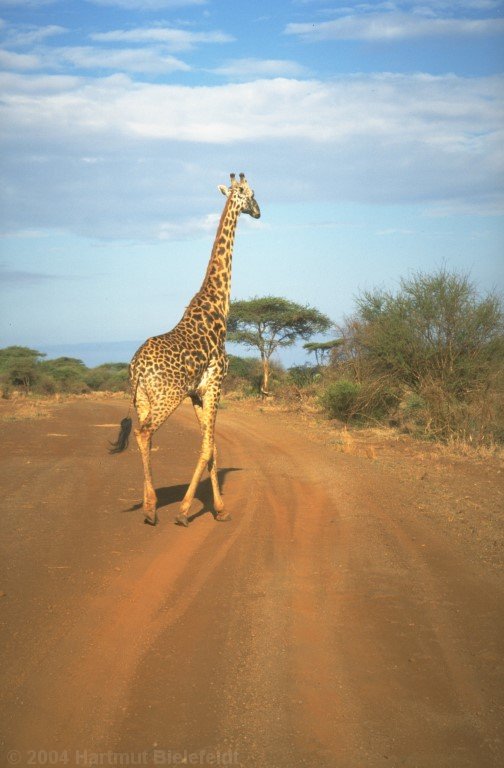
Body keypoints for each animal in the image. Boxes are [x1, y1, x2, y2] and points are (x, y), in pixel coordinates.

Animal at [110, 171, 260, 524]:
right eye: (251, 194)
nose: (260, 212)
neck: (218, 306)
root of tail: (136, 368)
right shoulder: (216, 383)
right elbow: (207, 447)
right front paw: (187, 510)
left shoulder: (197, 392)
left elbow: (212, 447)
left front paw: (218, 509)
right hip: (167, 397)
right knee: (144, 433)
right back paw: (152, 509)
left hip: (142, 399)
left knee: (144, 435)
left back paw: (149, 504)